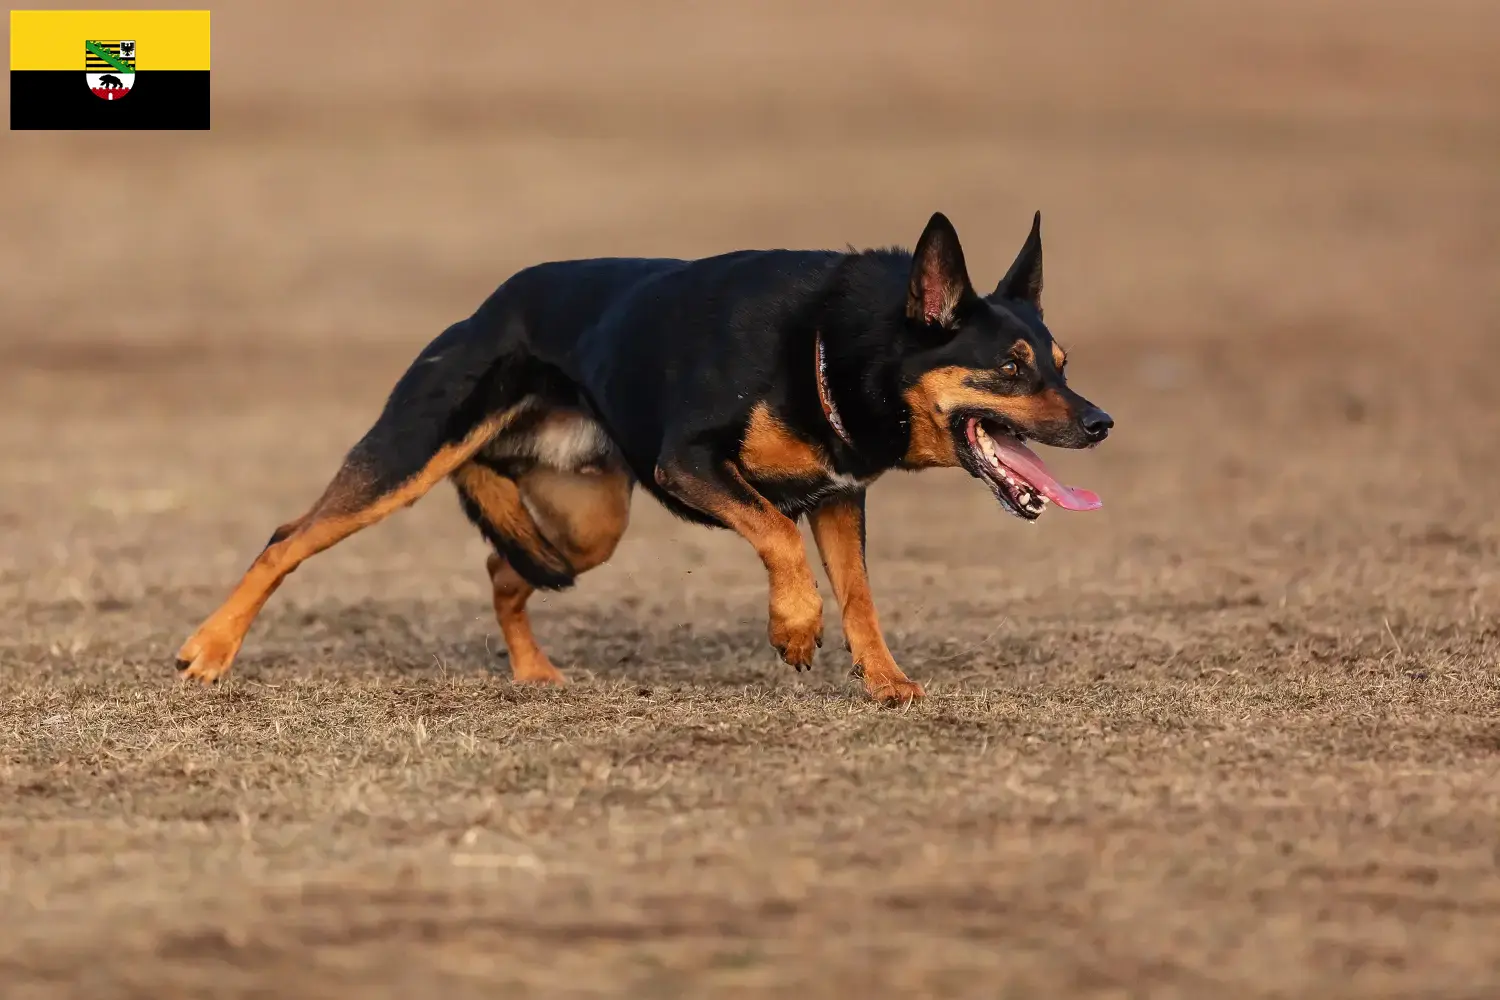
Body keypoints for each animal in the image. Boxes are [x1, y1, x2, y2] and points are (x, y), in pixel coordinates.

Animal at [178, 212, 1116, 704]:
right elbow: (778, 540)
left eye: (1063, 365)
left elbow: (859, 599)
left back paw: (534, 672)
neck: (832, 349)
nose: (1102, 422)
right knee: (288, 538)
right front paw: (792, 629)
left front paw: (885, 682)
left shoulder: (838, 496)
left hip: (591, 523)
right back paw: (209, 650)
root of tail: (487, 310)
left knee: (506, 567)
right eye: (1012, 369)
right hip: (408, 455)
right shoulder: (691, 466)